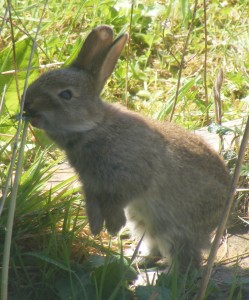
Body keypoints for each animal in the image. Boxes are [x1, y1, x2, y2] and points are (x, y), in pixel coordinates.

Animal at [24, 24, 231, 270]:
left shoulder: (129, 178)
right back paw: (137, 260)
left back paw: (169, 274)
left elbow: (118, 199)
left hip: (173, 227)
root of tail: (220, 216)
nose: (27, 104)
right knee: (153, 244)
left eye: (66, 94)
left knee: (185, 258)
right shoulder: (91, 185)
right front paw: (96, 229)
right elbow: (93, 204)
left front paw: (112, 227)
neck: (94, 127)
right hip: (141, 222)